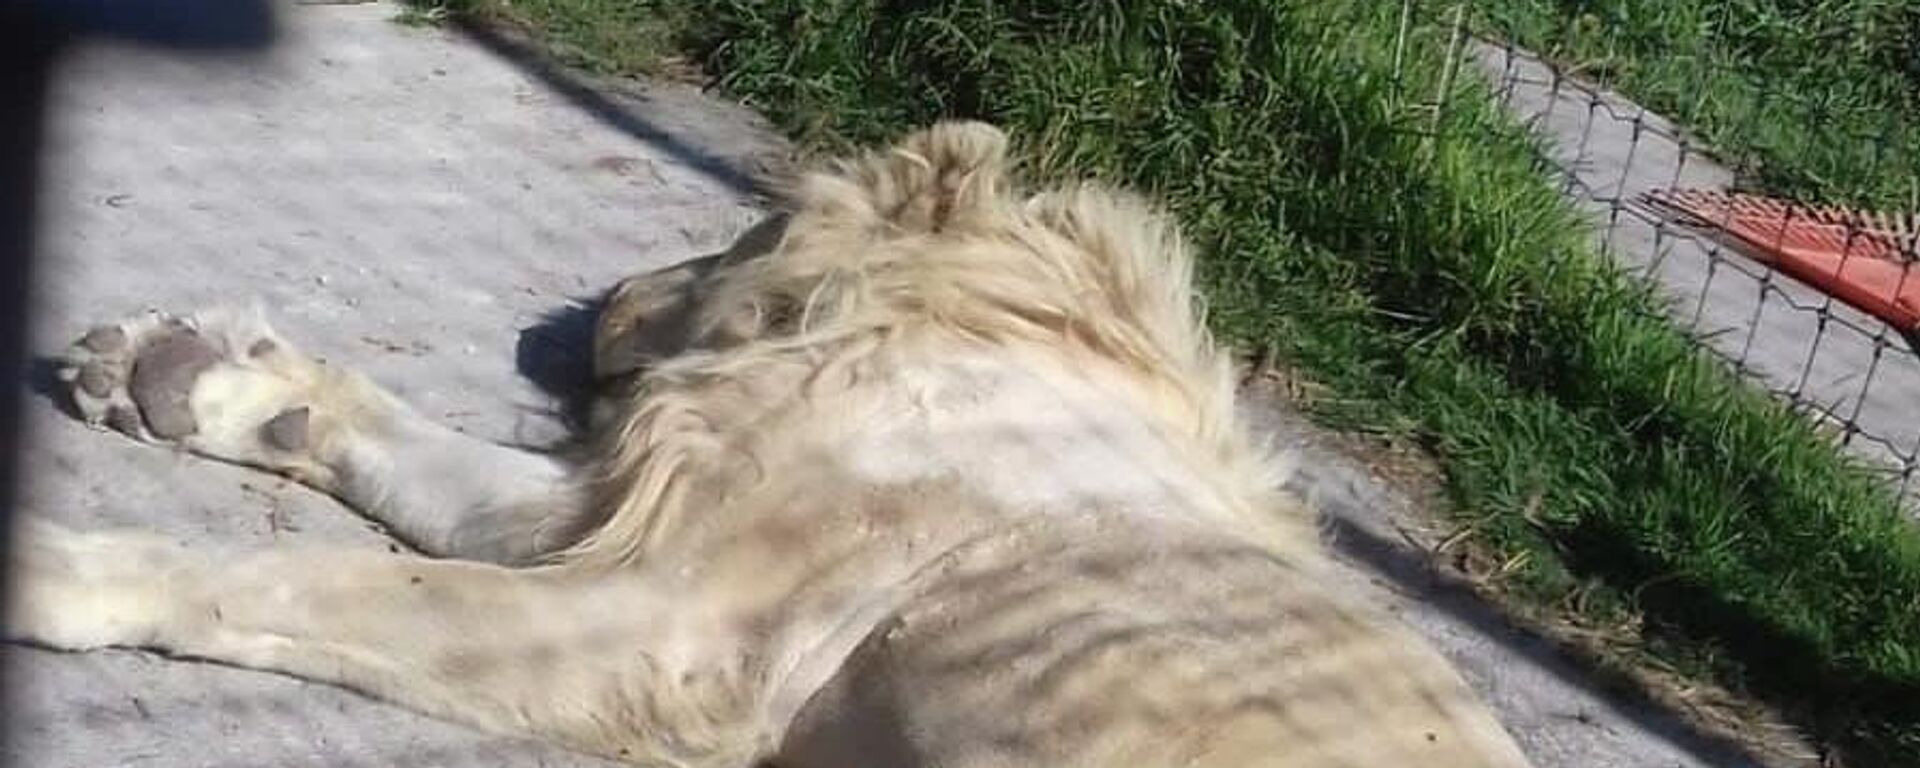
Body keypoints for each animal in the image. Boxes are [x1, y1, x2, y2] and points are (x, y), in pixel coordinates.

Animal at [5, 121, 1534, 767]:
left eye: (748, 223)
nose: (604, 307)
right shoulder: (643, 508)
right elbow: (399, 448)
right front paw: (181, 379)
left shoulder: (675, 626)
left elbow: (300, 585)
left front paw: (53, 566)